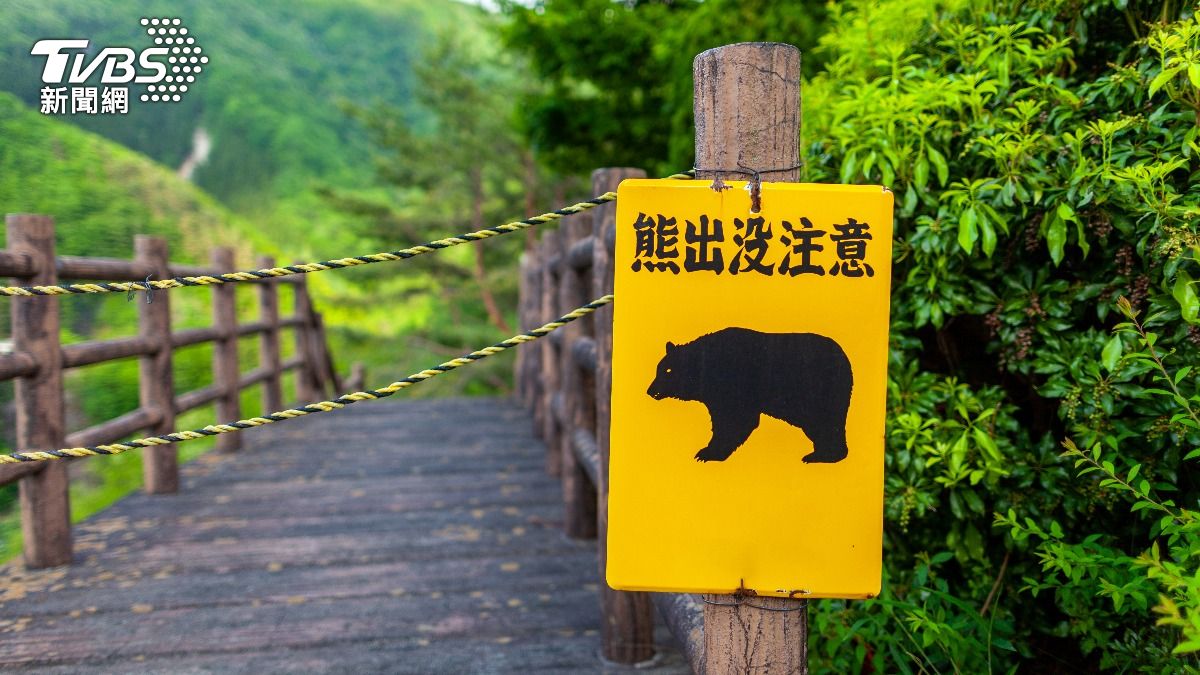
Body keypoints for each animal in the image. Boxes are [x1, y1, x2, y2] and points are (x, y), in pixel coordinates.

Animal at [646, 328, 853, 463]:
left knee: (826, 422)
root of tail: (845, 357)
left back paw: (823, 456)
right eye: (658, 369)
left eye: (668, 370)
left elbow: (735, 420)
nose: (650, 390)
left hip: (818, 393)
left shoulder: (735, 387)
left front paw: (708, 452)